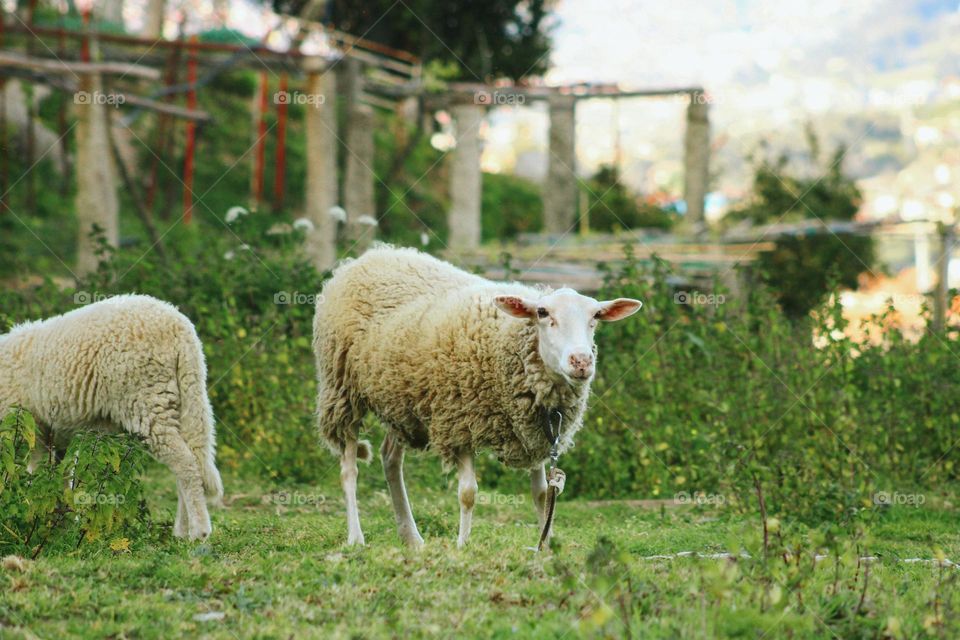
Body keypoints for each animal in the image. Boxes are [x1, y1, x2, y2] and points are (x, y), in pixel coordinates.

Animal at [0, 296, 223, 540]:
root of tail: (180, 328)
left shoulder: (32, 428)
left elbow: (37, 473)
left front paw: (40, 520)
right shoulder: (55, 433)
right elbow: (60, 474)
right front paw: (61, 524)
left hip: (146, 401)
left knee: (185, 463)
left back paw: (199, 531)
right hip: (179, 398)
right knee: (191, 458)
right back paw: (182, 531)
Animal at [316, 248, 640, 548]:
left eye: (595, 317)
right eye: (542, 313)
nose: (581, 361)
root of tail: (371, 255)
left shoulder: (533, 431)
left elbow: (542, 494)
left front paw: (545, 547)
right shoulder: (459, 421)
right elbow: (468, 493)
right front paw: (462, 545)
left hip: (399, 403)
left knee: (390, 460)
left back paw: (411, 537)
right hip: (342, 390)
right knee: (349, 469)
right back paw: (356, 537)